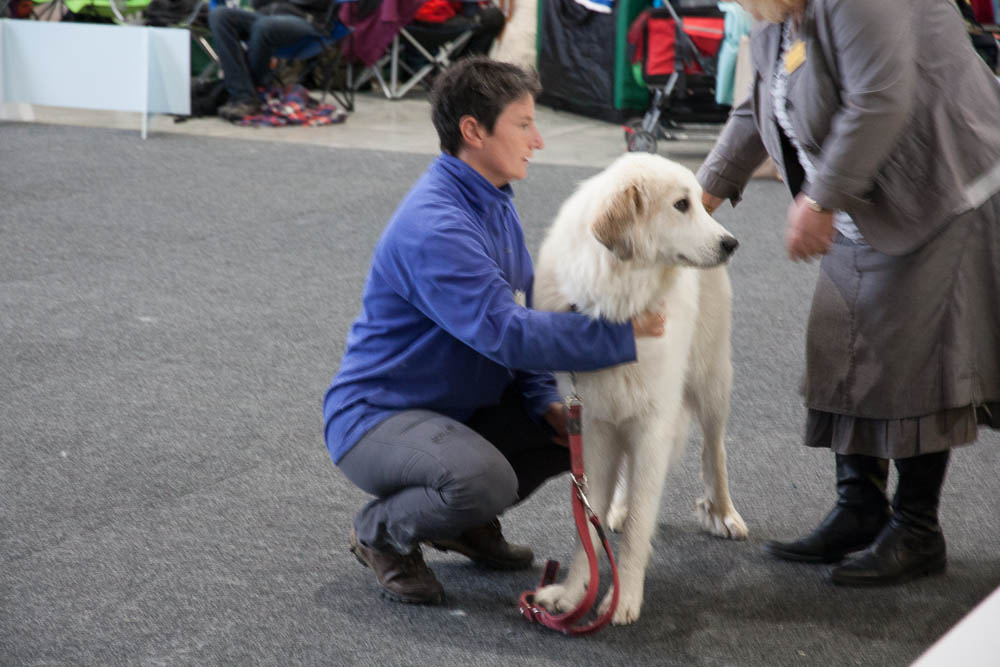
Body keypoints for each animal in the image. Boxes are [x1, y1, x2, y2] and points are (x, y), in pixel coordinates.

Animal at [536, 151, 748, 628]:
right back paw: (618, 507)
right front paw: (575, 593)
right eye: (681, 205)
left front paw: (623, 599)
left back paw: (724, 513)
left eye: (698, 203)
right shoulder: (594, 425)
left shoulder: (653, 424)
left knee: (714, 450)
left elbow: (638, 529)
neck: (619, 305)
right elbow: (586, 523)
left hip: (710, 381)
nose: (731, 244)